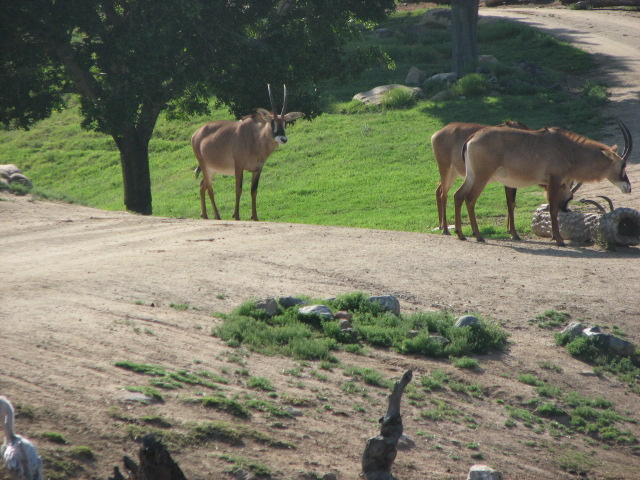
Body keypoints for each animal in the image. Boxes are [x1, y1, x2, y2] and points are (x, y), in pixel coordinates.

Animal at [192, 85, 305, 221]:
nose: (283, 139)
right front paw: (236, 216)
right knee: (209, 188)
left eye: (284, 122)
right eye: (272, 122)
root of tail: (196, 134)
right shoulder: (239, 167)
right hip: (204, 165)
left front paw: (255, 217)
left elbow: (253, 190)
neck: (256, 138)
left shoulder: (258, 169)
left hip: (212, 169)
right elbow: (238, 189)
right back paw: (217, 216)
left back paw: (205, 215)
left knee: (202, 185)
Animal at [454, 121, 632, 246]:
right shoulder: (554, 180)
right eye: (623, 165)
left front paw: (554, 236)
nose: (628, 187)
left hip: (471, 176)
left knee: (458, 195)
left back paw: (461, 234)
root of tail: (472, 138)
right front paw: (559, 239)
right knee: (470, 198)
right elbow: (553, 209)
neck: (570, 149)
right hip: (482, 177)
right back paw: (478, 236)